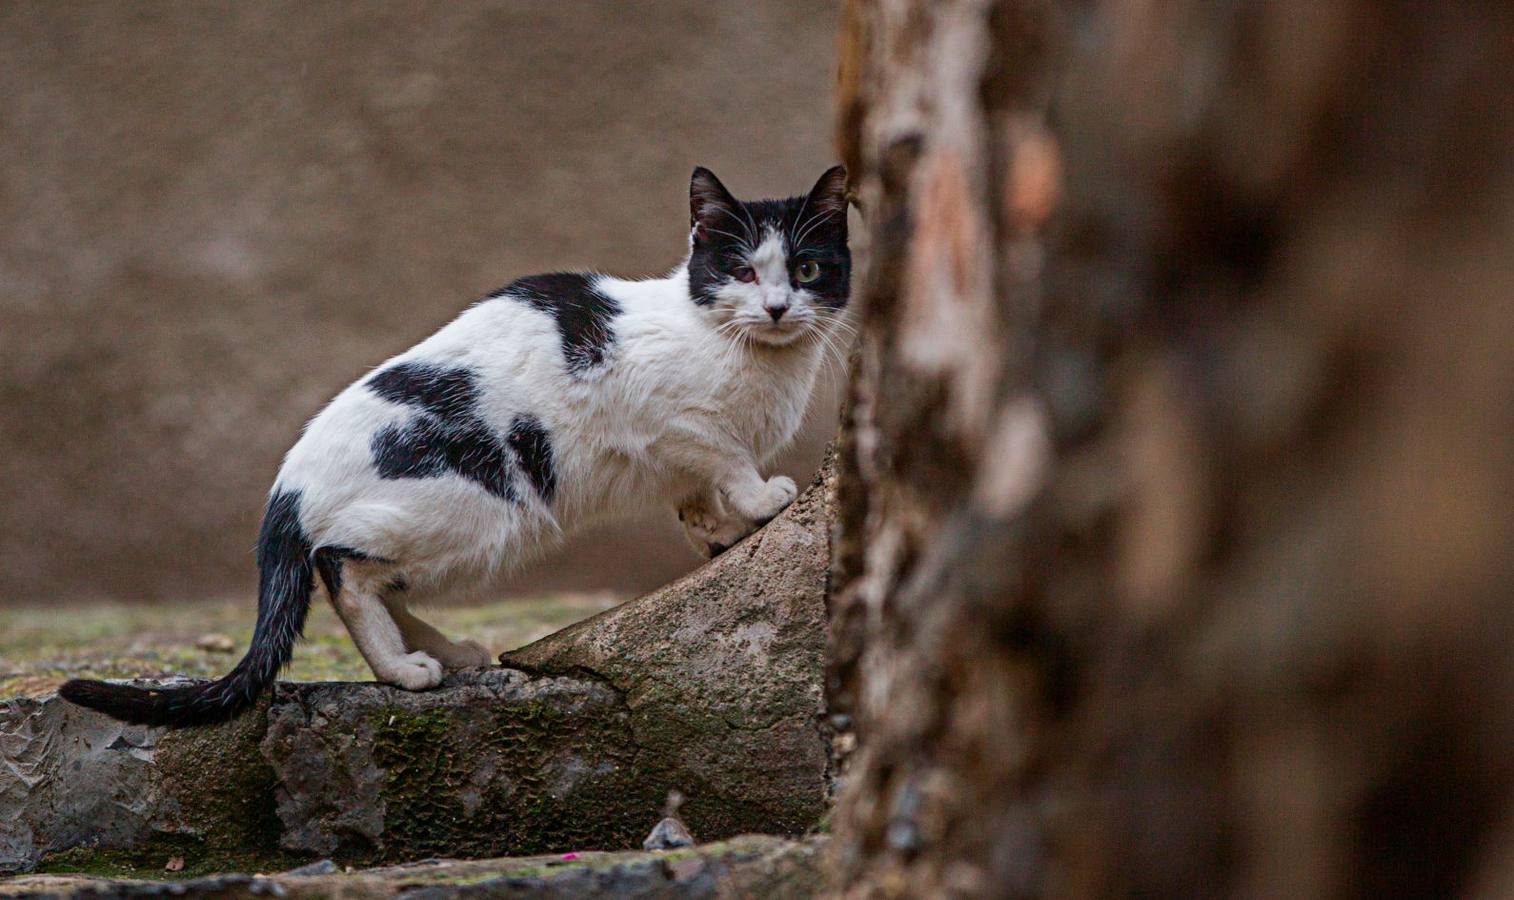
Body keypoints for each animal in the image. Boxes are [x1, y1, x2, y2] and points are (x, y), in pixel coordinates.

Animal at [59, 166, 853, 727]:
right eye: (742, 270)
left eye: (808, 270)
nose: (777, 308)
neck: (747, 351)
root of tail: (286, 488)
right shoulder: (670, 418)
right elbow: (726, 455)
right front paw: (761, 500)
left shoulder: (675, 456)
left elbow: (692, 493)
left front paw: (716, 531)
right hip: (481, 510)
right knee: (340, 566)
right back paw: (402, 670)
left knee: (375, 581)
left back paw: (440, 652)